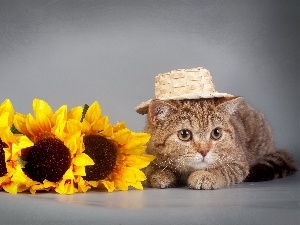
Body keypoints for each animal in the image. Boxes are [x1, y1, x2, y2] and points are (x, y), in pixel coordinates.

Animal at [144, 97, 296, 190]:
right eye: (184, 134)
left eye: (216, 133)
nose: (204, 151)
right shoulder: (149, 156)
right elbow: (152, 170)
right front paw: (162, 175)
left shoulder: (239, 163)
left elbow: (222, 170)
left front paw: (205, 176)